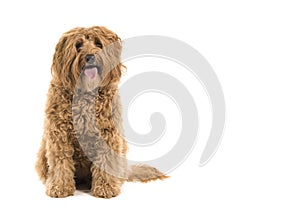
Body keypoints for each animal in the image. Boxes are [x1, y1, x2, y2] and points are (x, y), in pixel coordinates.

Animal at [36, 25, 168, 198]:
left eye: (98, 44)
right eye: (78, 46)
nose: (90, 57)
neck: (86, 92)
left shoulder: (108, 134)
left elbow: (106, 160)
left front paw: (106, 188)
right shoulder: (59, 134)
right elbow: (60, 161)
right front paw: (60, 187)